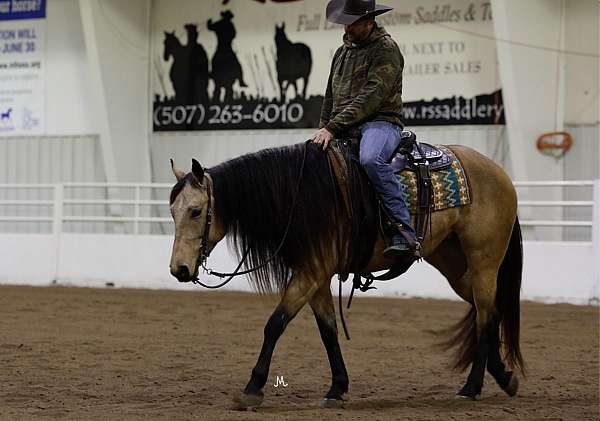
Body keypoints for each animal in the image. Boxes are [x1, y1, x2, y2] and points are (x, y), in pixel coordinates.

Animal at [170, 139, 524, 408]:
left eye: (196, 211)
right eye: (173, 211)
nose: (179, 269)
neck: (298, 197)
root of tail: (499, 173)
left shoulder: (310, 274)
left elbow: (275, 324)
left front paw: (252, 388)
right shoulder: (315, 275)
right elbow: (328, 331)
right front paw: (337, 387)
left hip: (484, 260)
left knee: (486, 316)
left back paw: (471, 388)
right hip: (454, 264)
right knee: (488, 311)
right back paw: (504, 377)